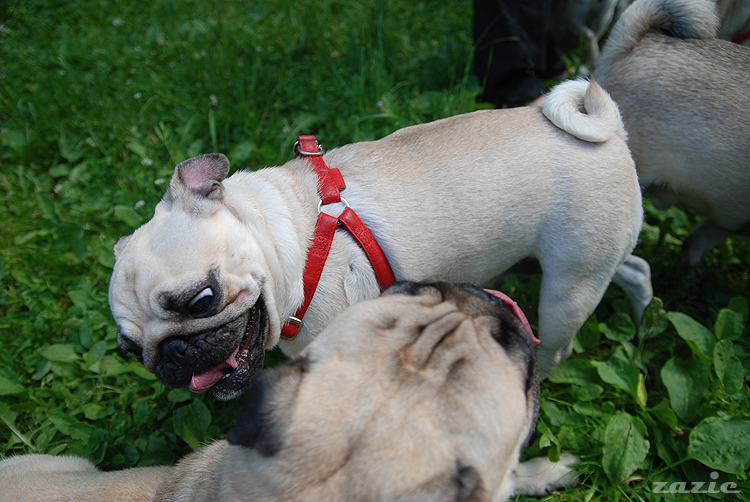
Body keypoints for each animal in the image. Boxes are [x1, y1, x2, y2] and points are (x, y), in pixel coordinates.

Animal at [108, 77, 644, 398]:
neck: (293, 239)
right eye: (128, 353)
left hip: (567, 290)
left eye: (202, 300)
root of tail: (612, 130)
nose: (172, 355)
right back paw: (643, 315)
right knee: (635, 268)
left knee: (557, 342)